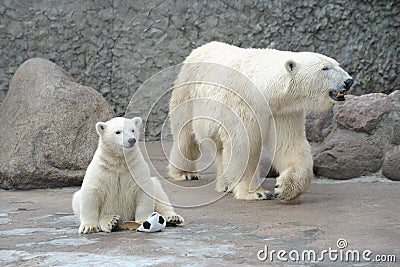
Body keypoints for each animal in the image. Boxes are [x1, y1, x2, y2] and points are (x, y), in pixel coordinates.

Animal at [168, 42, 354, 201]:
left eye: (337, 64)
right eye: (325, 68)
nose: (349, 80)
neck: (264, 89)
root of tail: (198, 50)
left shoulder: (283, 112)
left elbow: (289, 145)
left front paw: (284, 187)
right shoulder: (244, 104)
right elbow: (243, 146)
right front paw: (256, 193)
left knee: (220, 148)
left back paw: (225, 184)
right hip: (187, 92)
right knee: (186, 136)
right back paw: (185, 173)